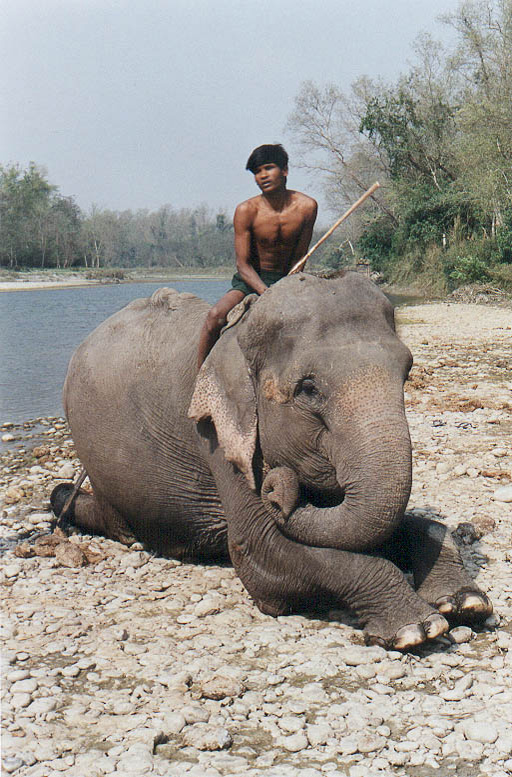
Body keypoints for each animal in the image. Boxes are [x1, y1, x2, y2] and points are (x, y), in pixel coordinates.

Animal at [51, 271, 492, 650]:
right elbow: (259, 548)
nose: (277, 487)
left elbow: (390, 526)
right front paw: (418, 628)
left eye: (407, 371)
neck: (240, 336)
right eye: (309, 389)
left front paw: (465, 602)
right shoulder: (217, 436)